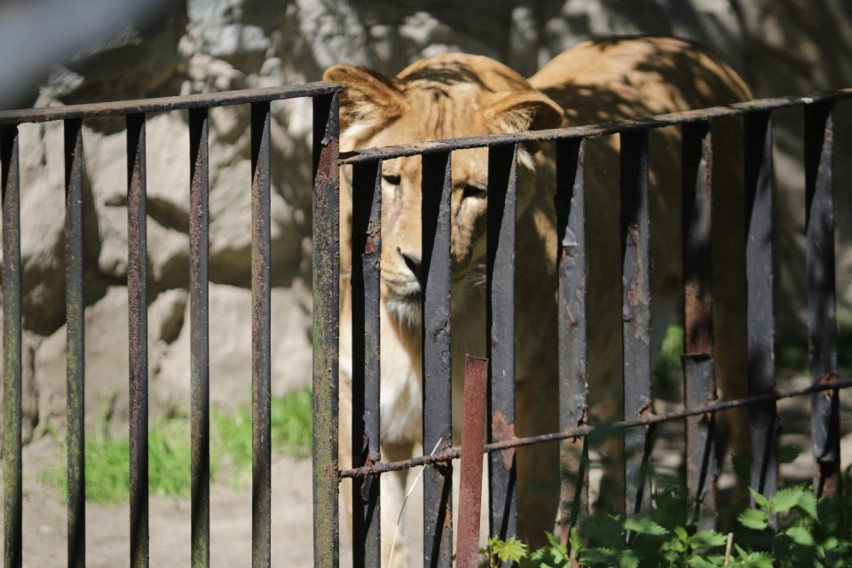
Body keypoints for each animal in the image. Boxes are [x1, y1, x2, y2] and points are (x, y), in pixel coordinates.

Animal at [326, 36, 752, 564]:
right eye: (392, 181)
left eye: (473, 193)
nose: (421, 264)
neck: (416, 331)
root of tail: (696, 50)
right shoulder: (370, 424)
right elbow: (385, 536)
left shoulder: (535, 398)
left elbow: (524, 519)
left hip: (731, 296)